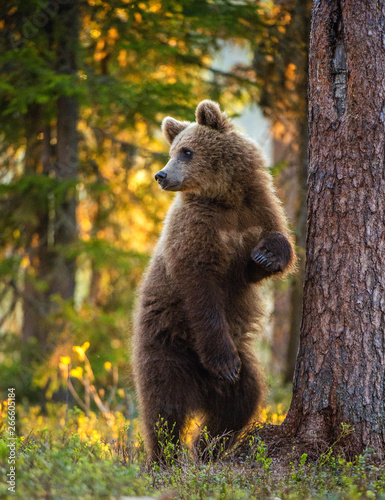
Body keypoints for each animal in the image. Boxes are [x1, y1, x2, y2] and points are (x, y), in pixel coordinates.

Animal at [132, 99, 294, 462]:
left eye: (187, 151)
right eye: (174, 151)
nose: (161, 175)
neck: (226, 198)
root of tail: (201, 387)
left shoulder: (257, 210)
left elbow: (274, 245)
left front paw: (266, 256)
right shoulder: (196, 231)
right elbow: (201, 291)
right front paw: (223, 361)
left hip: (243, 365)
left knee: (241, 401)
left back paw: (206, 448)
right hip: (166, 346)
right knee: (164, 407)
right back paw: (164, 457)